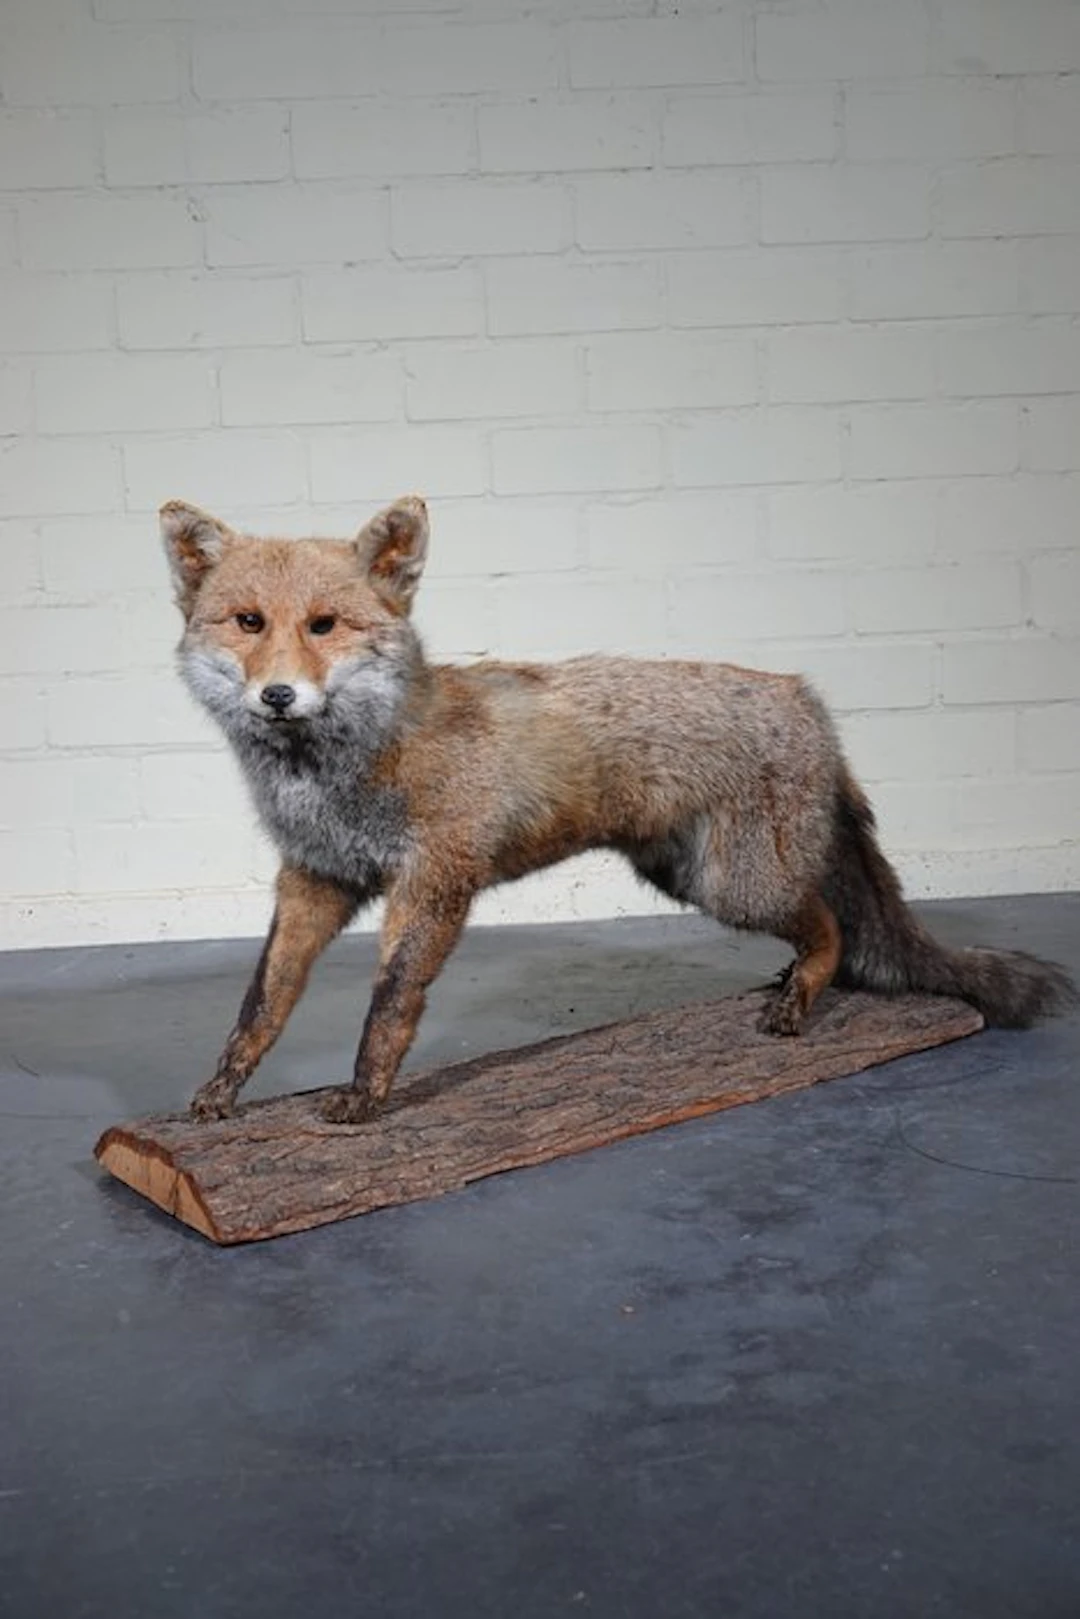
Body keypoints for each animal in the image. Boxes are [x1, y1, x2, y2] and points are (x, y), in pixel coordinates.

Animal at [160, 493, 1075, 1125]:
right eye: (248, 623)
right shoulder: (315, 879)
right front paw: (221, 1090)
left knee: (833, 927)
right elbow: (262, 1002)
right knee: (831, 922)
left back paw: (799, 996)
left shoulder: (434, 884)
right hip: (689, 874)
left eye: (324, 625)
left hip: (736, 885)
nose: (279, 696)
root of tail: (809, 701)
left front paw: (364, 1096)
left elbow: (388, 1007)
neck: (340, 772)